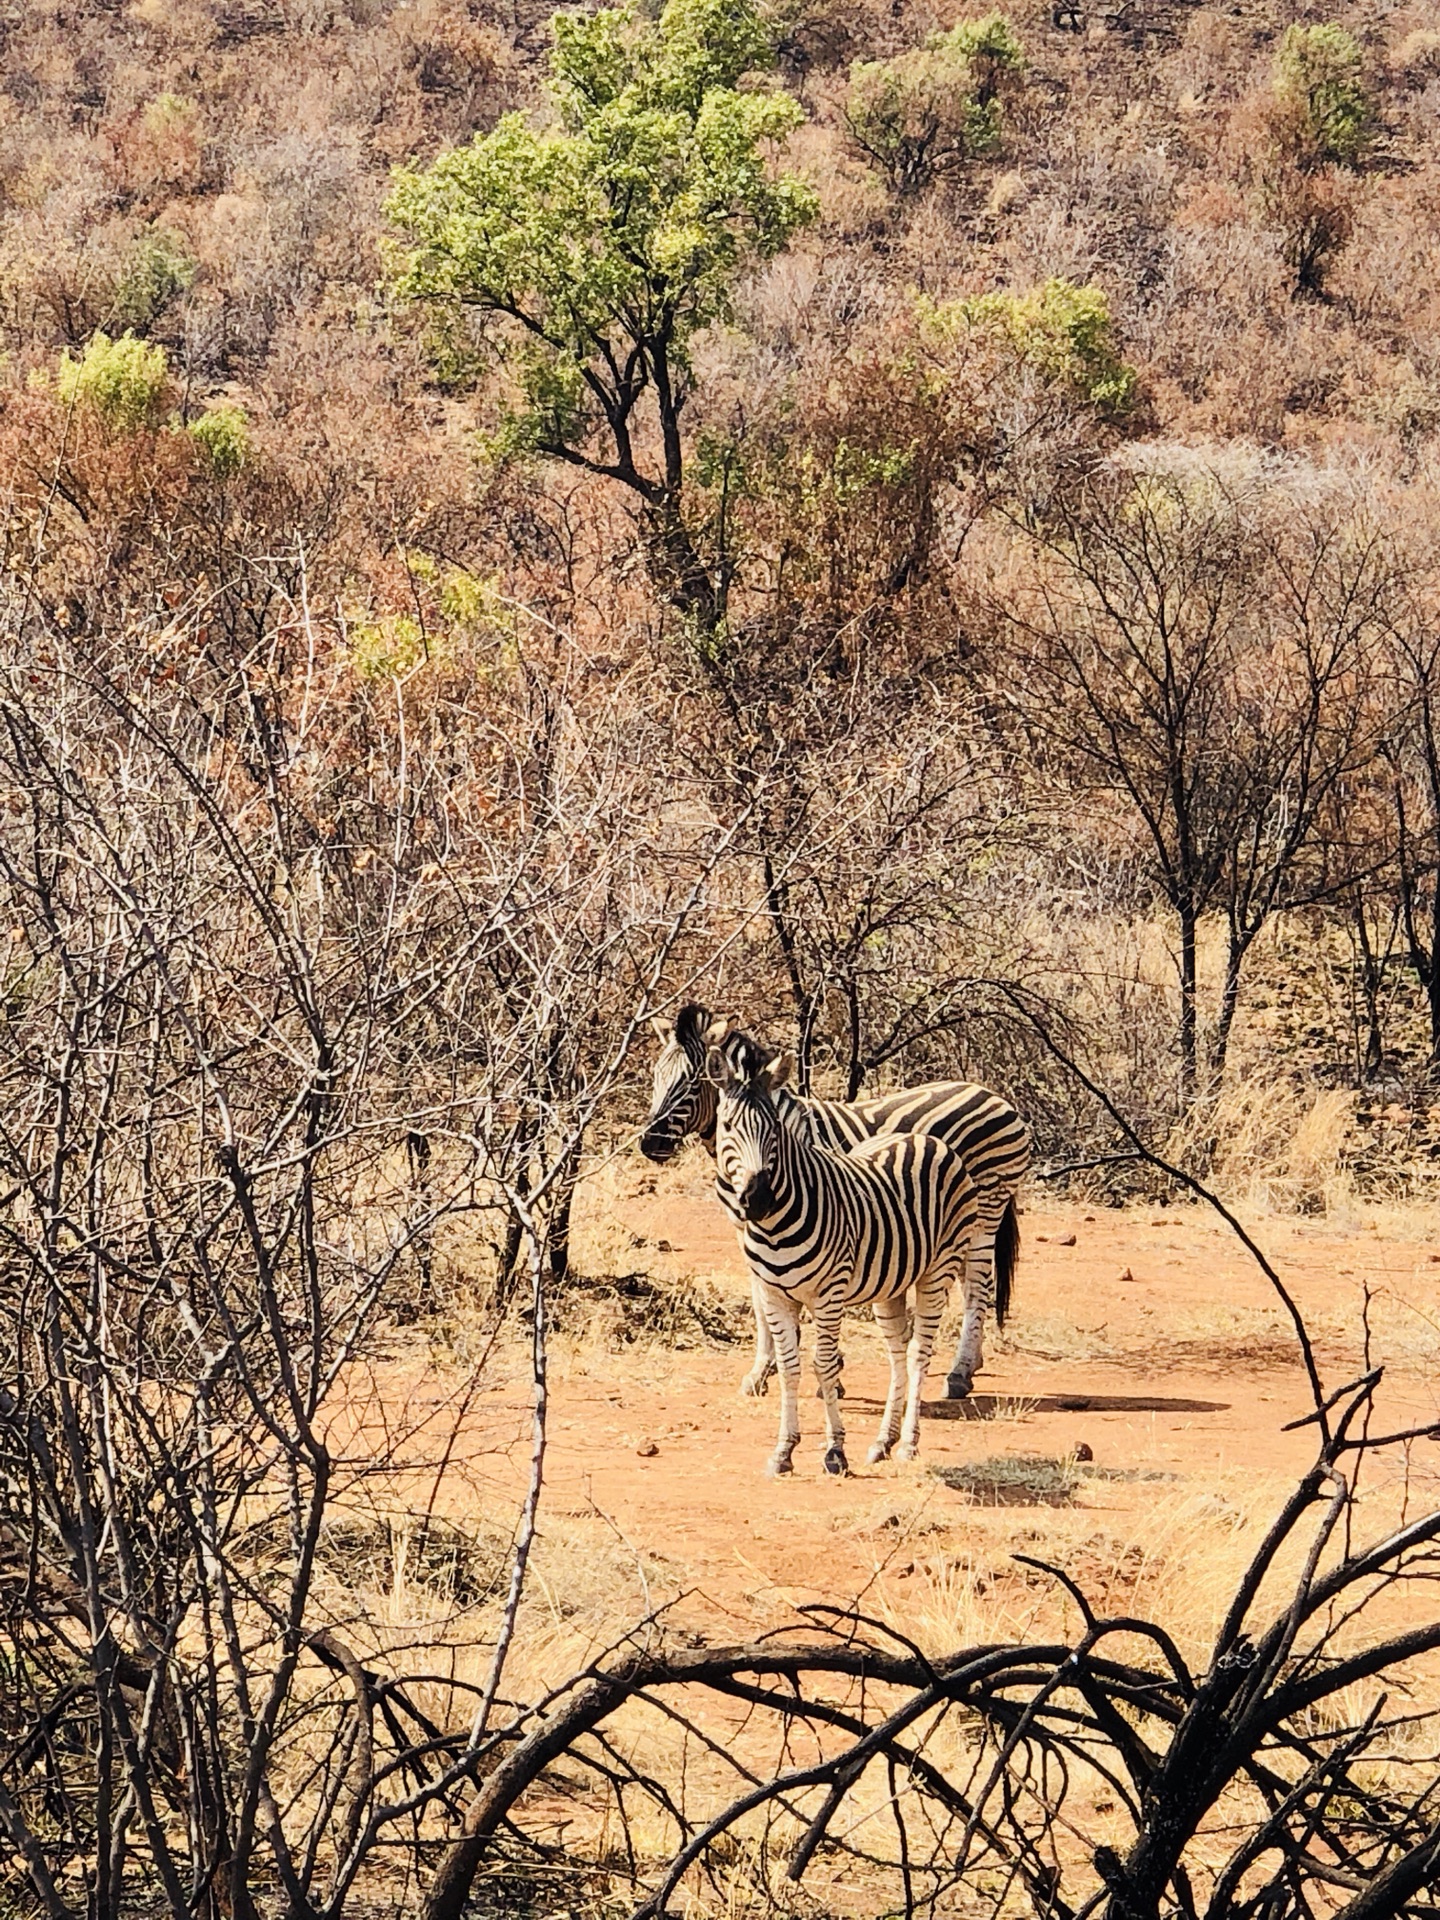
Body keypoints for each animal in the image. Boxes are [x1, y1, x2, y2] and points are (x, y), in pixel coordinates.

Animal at [641, 1006, 1029, 1397]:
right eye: (656, 1076)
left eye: (692, 1083)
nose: (649, 1144)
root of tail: (995, 1096)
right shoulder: (745, 1228)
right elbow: (761, 1302)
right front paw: (763, 1369)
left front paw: (830, 1371)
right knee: (968, 1282)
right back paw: (972, 1363)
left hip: (987, 1209)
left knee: (978, 1285)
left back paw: (959, 1373)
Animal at [710, 1029, 983, 1474]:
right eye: (728, 1126)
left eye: (774, 1130)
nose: (758, 1198)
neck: (774, 1226)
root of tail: (925, 1137)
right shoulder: (773, 1294)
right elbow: (789, 1367)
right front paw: (783, 1451)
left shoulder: (829, 1293)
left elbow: (823, 1365)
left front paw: (834, 1451)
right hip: (891, 1284)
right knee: (897, 1353)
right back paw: (883, 1442)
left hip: (938, 1269)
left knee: (918, 1353)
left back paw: (908, 1444)